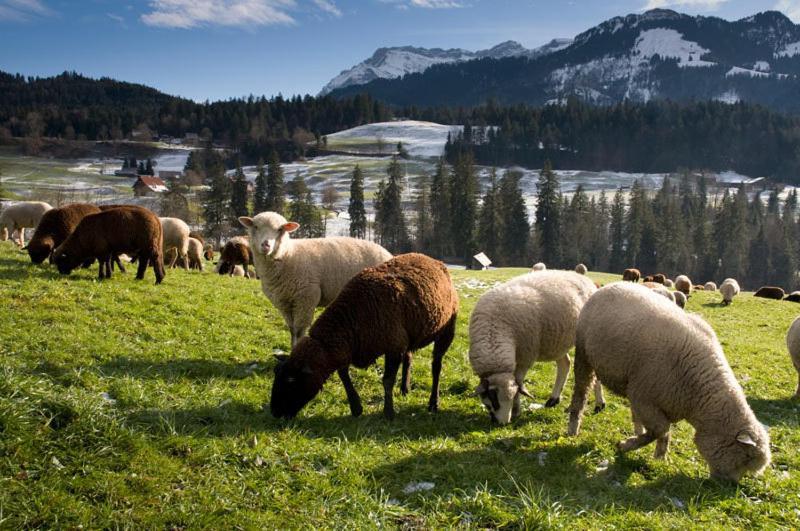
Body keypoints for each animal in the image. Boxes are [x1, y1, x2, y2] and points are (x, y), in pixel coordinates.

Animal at [238, 212, 390, 350]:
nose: (266, 245)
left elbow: (299, 331)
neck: (288, 254)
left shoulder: (306, 298)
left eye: (280, 229)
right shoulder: (284, 302)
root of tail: (387, 253)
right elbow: (292, 330)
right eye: (255, 227)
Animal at [270, 254, 460, 420]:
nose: (275, 413)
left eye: (291, 380)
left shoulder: (393, 346)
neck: (351, 316)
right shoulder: (349, 348)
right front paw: (356, 407)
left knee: (436, 367)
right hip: (409, 335)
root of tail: (434, 260)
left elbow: (387, 380)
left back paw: (433, 403)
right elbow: (343, 373)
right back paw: (405, 389)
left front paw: (388, 412)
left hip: (446, 331)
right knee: (409, 357)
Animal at [468, 272, 608, 426]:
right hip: (557, 341)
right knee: (565, 364)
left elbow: (519, 382)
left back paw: (599, 404)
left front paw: (516, 410)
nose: (502, 424)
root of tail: (586, 279)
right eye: (493, 399)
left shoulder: (525, 358)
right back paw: (554, 399)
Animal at [564, 284, 772, 484]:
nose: (729, 485)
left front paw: (660, 458)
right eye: (745, 457)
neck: (698, 397)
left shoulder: (667, 405)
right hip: (584, 355)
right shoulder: (644, 399)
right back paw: (573, 428)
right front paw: (626, 445)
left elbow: (665, 433)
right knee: (581, 391)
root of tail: (610, 285)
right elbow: (659, 430)